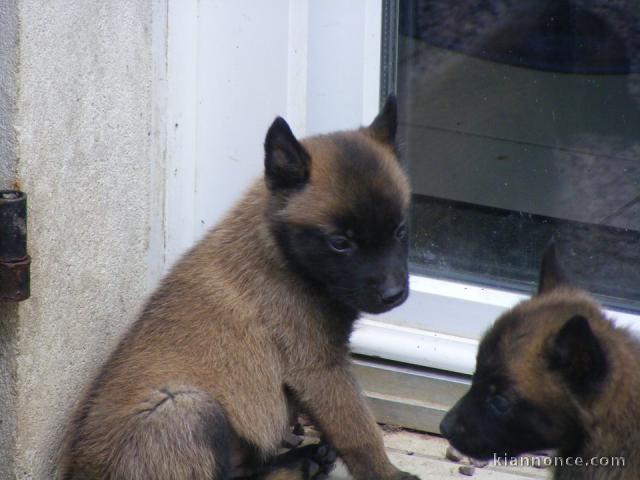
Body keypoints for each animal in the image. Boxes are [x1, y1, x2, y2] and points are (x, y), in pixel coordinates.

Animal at [58, 96, 420, 480]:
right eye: (340, 243)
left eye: (400, 230)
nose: (394, 295)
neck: (281, 251)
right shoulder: (319, 368)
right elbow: (360, 432)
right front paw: (390, 474)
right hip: (189, 408)